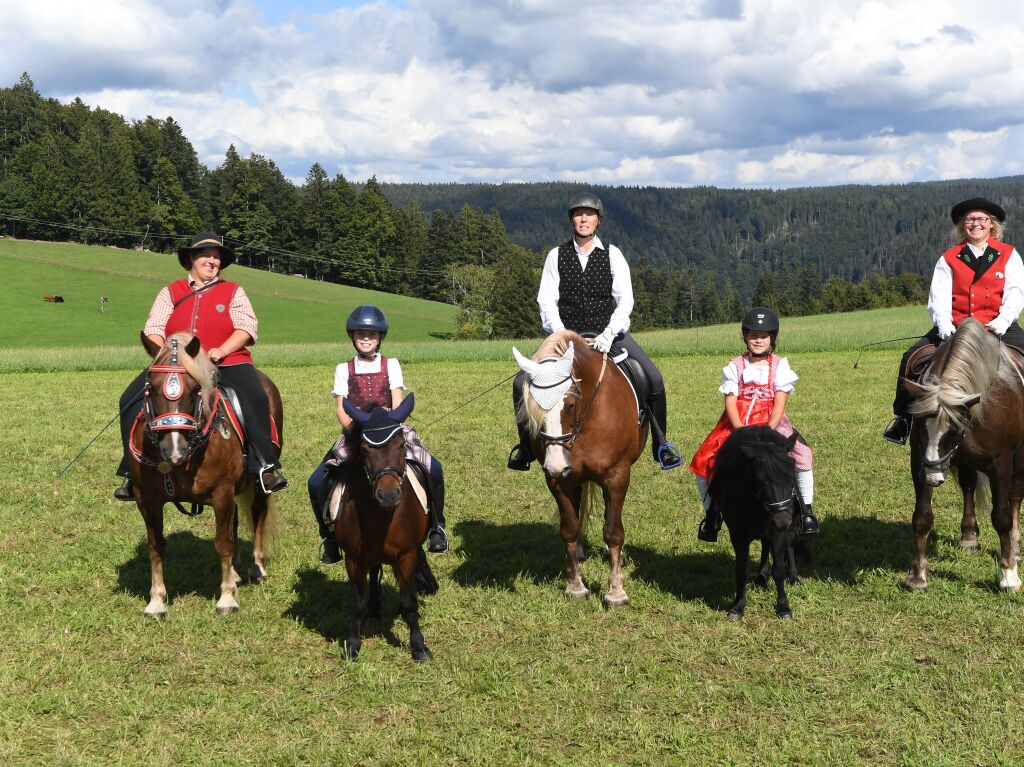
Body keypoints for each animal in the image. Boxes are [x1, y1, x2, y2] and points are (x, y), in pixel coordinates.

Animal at [128, 331, 282, 618]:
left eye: (194, 388)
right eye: (150, 387)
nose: (173, 449)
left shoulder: (221, 494)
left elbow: (222, 543)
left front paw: (227, 599)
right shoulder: (147, 500)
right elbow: (156, 547)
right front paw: (156, 600)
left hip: (256, 483)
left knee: (258, 514)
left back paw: (257, 567)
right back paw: (235, 571)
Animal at [331, 395, 436, 659]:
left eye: (401, 445)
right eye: (364, 449)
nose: (388, 495)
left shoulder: (406, 555)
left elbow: (409, 602)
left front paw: (419, 647)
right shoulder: (354, 559)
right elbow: (357, 603)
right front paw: (353, 645)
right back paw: (374, 610)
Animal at [512, 329, 647, 606]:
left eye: (570, 404)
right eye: (531, 409)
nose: (555, 464)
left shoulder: (617, 475)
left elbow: (613, 531)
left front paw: (616, 591)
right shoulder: (559, 480)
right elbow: (569, 529)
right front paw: (575, 585)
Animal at [708, 428, 802, 618]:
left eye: (792, 474)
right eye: (760, 479)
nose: (782, 520)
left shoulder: (778, 532)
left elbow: (779, 569)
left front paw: (783, 607)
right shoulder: (738, 534)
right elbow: (741, 570)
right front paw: (737, 607)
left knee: (788, 545)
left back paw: (793, 577)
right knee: (765, 545)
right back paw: (761, 578)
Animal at [905, 317, 1024, 593]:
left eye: (955, 429)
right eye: (919, 426)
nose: (933, 477)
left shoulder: (1001, 462)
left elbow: (1002, 516)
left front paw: (1009, 576)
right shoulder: (919, 459)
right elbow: (922, 516)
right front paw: (918, 576)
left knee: (1015, 496)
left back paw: (1015, 548)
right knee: (968, 487)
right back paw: (969, 535)